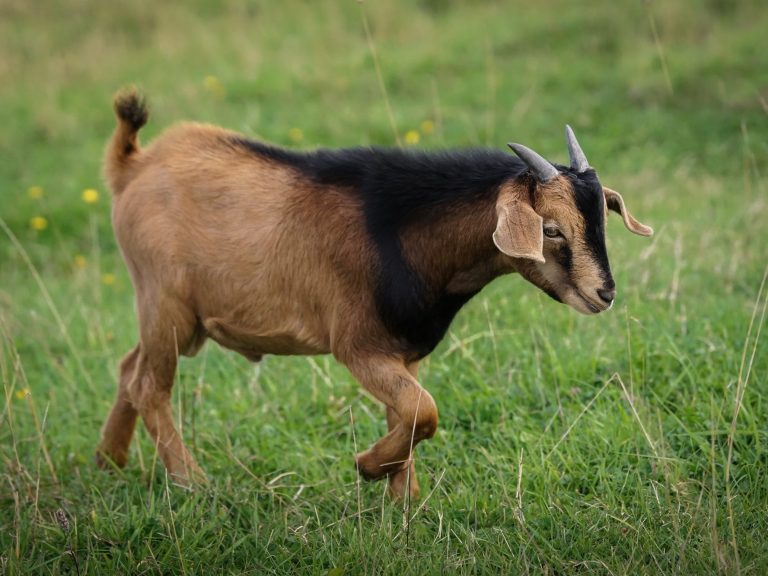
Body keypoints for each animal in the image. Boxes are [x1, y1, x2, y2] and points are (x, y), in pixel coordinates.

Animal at [97, 89, 652, 500]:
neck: (403, 233)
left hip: (176, 316)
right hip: (164, 303)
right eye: (551, 230)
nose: (603, 293)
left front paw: (405, 502)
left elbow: (409, 415)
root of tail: (133, 166)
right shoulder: (359, 346)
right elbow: (423, 412)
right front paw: (367, 467)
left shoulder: (405, 353)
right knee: (149, 384)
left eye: (601, 219)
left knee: (128, 369)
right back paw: (191, 482)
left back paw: (109, 463)